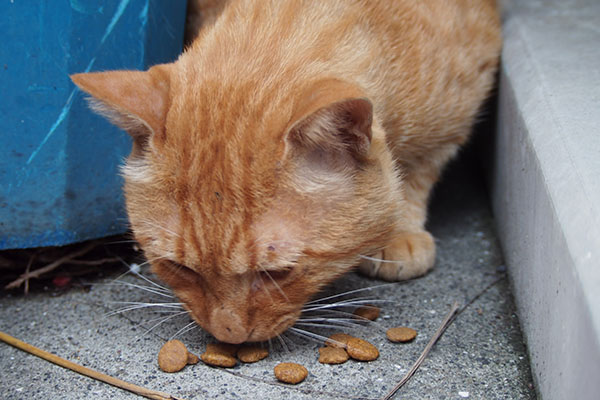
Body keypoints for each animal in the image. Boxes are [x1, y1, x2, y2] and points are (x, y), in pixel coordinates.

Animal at [71, 0, 502, 344]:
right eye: (179, 268)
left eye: (279, 272)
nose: (229, 337)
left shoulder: (462, 101)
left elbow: (417, 171)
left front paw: (401, 231)